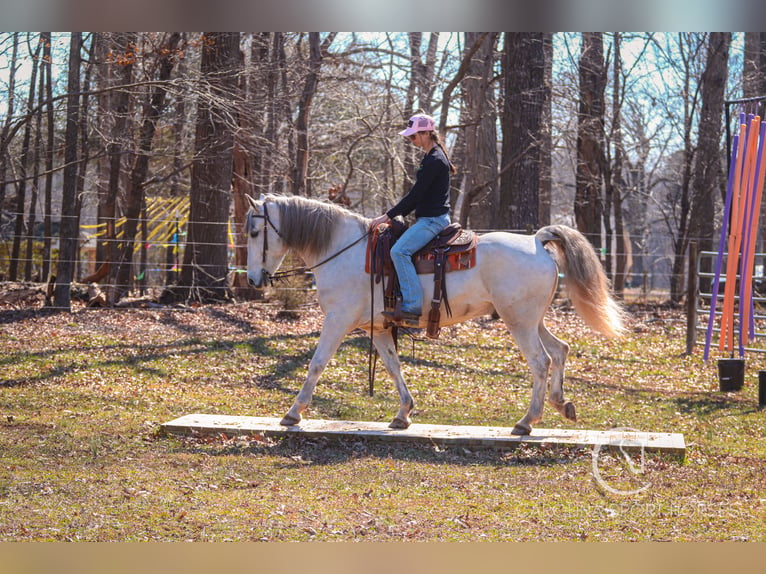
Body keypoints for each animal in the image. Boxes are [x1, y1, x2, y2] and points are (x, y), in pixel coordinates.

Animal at [246, 195, 624, 436]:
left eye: (253, 232)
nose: (252, 280)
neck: (343, 250)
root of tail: (536, 240)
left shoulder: (337, 321)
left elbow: (317, 364)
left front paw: (293, 413)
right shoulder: (377, 327)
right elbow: (393, 366)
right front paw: (403, 414)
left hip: (519, 322)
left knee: (541, 362)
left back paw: (526, 421)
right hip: (533, 320)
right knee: (560, 351)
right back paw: (562, 405)